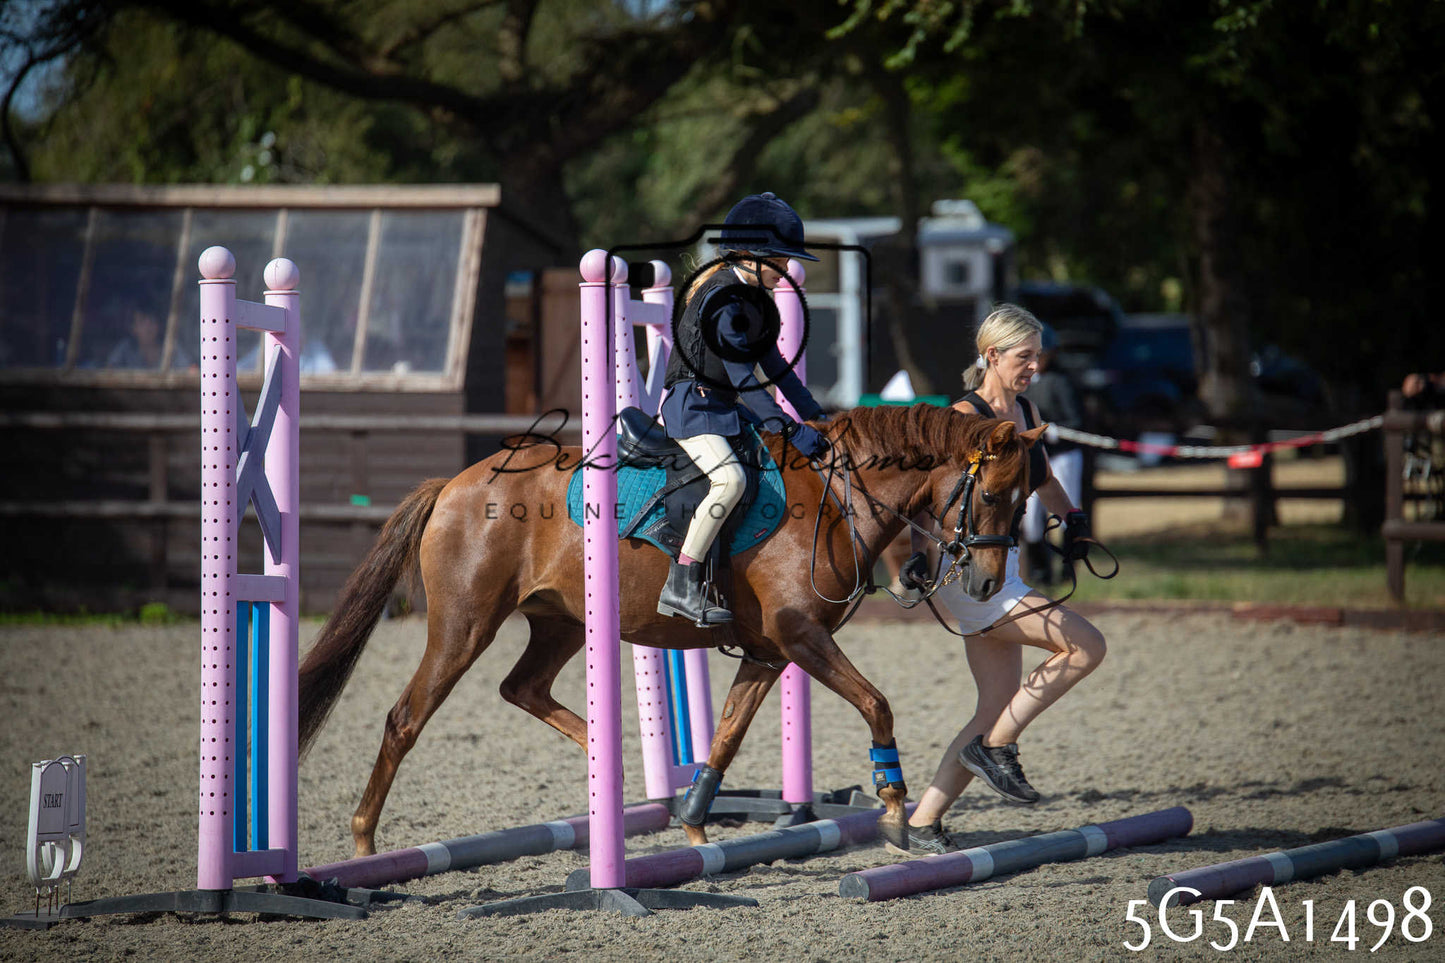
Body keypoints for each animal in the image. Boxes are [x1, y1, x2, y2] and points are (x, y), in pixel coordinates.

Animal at [297, 402, 1045, 857]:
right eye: (992, 494)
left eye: (1025, 500)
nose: (984, 585)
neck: (835, 497)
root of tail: (453, 484)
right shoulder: (801, 637)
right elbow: (877, 704)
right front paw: (892, 810)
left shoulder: (768, 653)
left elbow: (727, 735)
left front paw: (692, 824)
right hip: (463, 627)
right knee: (405, 718)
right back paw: (363, 842)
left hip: (559, 622)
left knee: (523, 689)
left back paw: (608, 762)